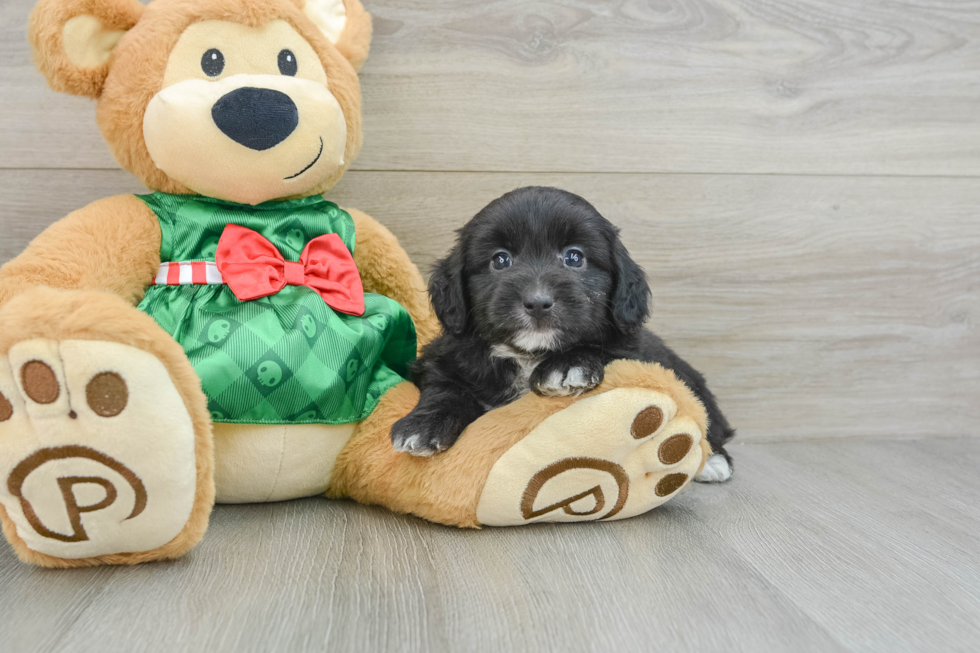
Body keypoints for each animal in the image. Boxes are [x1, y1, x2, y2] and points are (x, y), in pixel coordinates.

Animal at [392, 186, 736, 482]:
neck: (528, 355)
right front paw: (423, 425)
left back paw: (713, 461)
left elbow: (602, 349)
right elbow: (446, 388)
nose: (538, 302)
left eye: (574, 257)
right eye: (500, 260)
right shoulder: (444, 359)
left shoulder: (631, 350)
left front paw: (568, 364)